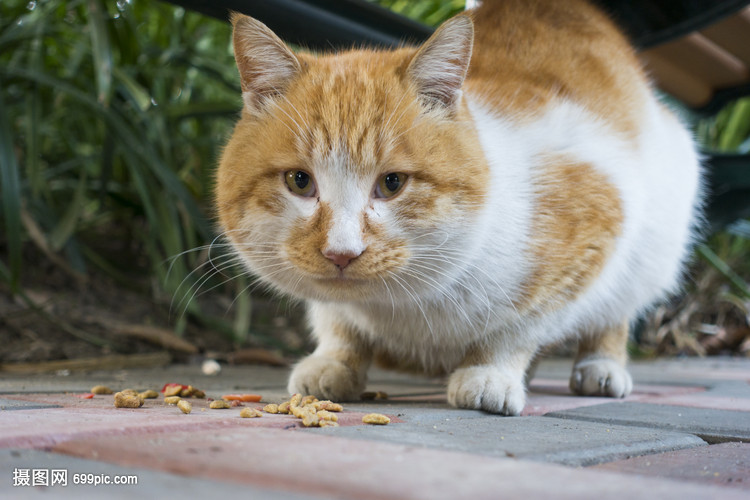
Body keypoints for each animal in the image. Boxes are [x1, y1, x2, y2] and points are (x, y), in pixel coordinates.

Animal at [216, 0, 704, 414]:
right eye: (299, 181)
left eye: (392, 183)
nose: (341, 253)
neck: (403, 305)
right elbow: (337, 320)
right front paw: (334, 360)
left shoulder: (597, 218)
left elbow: (519, 326)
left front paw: (490, 373)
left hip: (659, 230)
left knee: (615, 311)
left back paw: (600, 367)